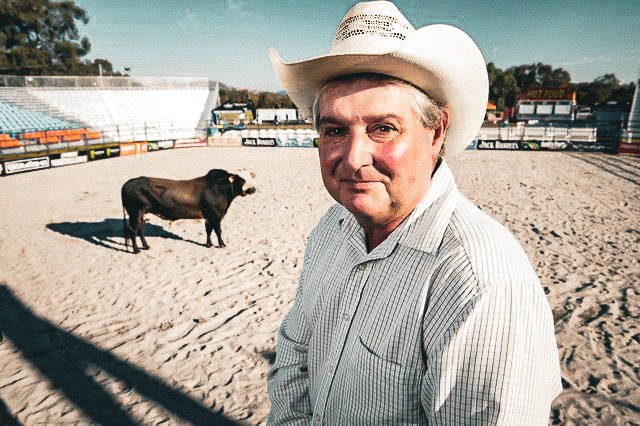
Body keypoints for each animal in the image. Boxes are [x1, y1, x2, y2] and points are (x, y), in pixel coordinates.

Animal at [121, 168, 256, 253]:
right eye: (242, 180)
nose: (253, 189)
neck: (219, 189)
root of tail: (128, 182)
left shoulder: (208, 218)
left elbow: (208, 231)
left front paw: (209, 244)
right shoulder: (215, 216)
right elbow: (218, 231)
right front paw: (222, 244)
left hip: (141, 214)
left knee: (140, 229)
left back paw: (146, 246)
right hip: (135, 212)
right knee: (133, 230)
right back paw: (136, 250)